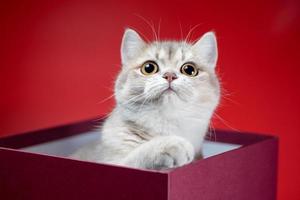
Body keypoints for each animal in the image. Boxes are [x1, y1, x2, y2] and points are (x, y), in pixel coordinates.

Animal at [71, 27, 220, 170]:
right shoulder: (110, 161)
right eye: (149, 68)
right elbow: (134, 158)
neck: (165, 125)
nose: (170, 75)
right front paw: (170, 144)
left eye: (189, 69)